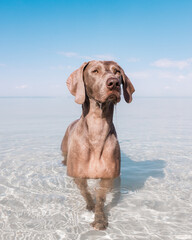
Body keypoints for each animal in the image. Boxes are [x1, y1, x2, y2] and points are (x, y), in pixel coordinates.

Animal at [60, 60, 134, 231]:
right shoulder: (78, 176)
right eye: (95, 71)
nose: (113, 83)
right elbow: (85, 191)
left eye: (117, 71)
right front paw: (90, 205)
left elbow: (100, 197)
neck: (97, 129)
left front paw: (99, 217)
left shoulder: (108, 177)